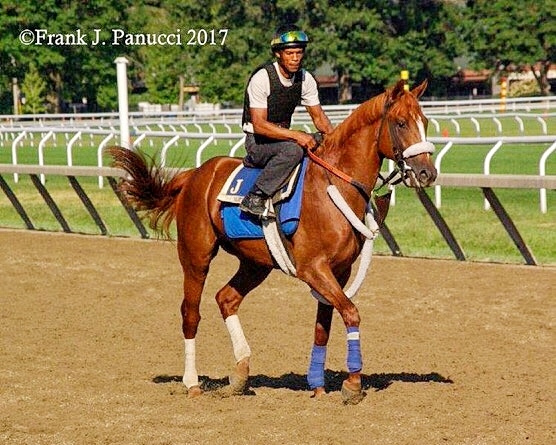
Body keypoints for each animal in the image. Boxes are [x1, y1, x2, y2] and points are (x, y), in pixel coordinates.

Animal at [109, 79, 438, 402]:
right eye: (401, 123)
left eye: (424, 121)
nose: (427, 173)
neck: (334, 185)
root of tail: (193, 175)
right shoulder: (313, 268)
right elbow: (351, 313)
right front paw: (353, 384)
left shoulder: (338, 271)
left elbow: (324, 325)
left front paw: (318, 385)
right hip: (196, 256)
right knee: (191, 313)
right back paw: (192, 382)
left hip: (256, 264)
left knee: (226, 299)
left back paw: (240, 374)